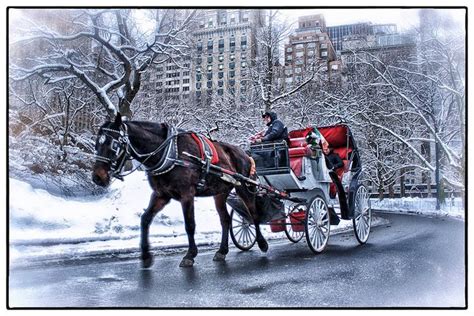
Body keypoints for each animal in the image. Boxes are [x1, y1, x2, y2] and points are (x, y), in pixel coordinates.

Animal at [91, 113, 268, 266]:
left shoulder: (187, 194)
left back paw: (262, 243)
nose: (97, 177)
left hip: (244, 188)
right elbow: (145, 219)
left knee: (254, 214)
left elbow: (190, 225)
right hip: (220, 193)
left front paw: (190, 255)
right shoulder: (161, 195)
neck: (169, 152)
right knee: (225, 220)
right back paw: (222, 251)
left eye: (113, 144)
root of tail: (245, 154)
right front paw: (146, 254)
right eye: (97, 143)